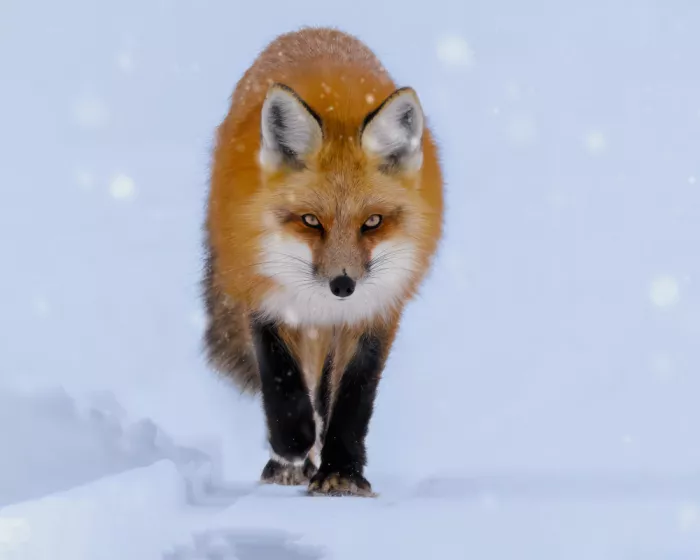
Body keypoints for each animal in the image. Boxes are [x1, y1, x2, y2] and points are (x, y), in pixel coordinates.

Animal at [202, 26, 444, 496]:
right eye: (311, 221)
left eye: (372, 222)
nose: (342, 285)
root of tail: (314, 31)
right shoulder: (264, 293)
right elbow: (281, 380)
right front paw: (293, 443)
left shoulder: (376, 310)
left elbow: (352, 397)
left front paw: (342, 471)